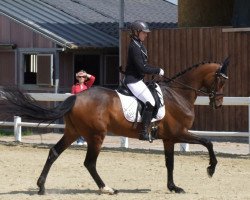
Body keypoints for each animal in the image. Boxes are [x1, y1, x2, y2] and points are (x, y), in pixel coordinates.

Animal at [0, 57, 229, 194]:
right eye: (221, 81)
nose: (218, 104)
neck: (179, 95)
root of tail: (76, 97)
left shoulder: (169, 138)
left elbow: (170, 163)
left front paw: (173, 187)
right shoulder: (180, 133)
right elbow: (208, 142)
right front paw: (211, 169)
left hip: (73, 132)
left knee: (54, 153)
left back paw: (41, 187)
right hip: (96, 135)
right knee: (89, 163)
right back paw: (106, 188)